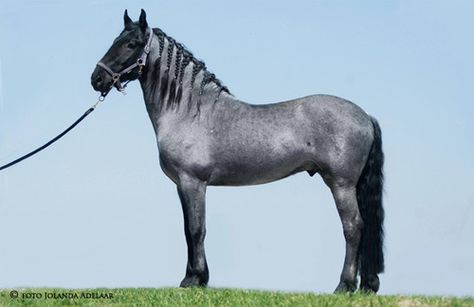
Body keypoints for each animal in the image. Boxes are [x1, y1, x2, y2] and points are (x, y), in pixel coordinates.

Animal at [91, 9, 386, 294]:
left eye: (131, 44)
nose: (97, 78)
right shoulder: (181, 185)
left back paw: (344, 285)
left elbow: (196, 229)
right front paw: (194, 277)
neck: (189, 112)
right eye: (116, 40)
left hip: (341, 184)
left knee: (353, 227)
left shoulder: (193, 182)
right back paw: (365, 285)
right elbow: (188, 230)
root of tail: (365, 116)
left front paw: (194, 279)